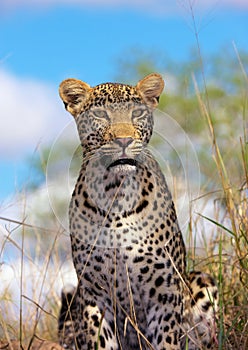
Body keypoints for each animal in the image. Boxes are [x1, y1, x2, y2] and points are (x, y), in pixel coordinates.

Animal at [57, 72, 218, 348]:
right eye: (100, 114)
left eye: (138, 112)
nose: (124, 140)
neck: (115, 193)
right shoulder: (94, 294)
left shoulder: (165, 293)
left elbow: (166, 340)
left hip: (202, 280)